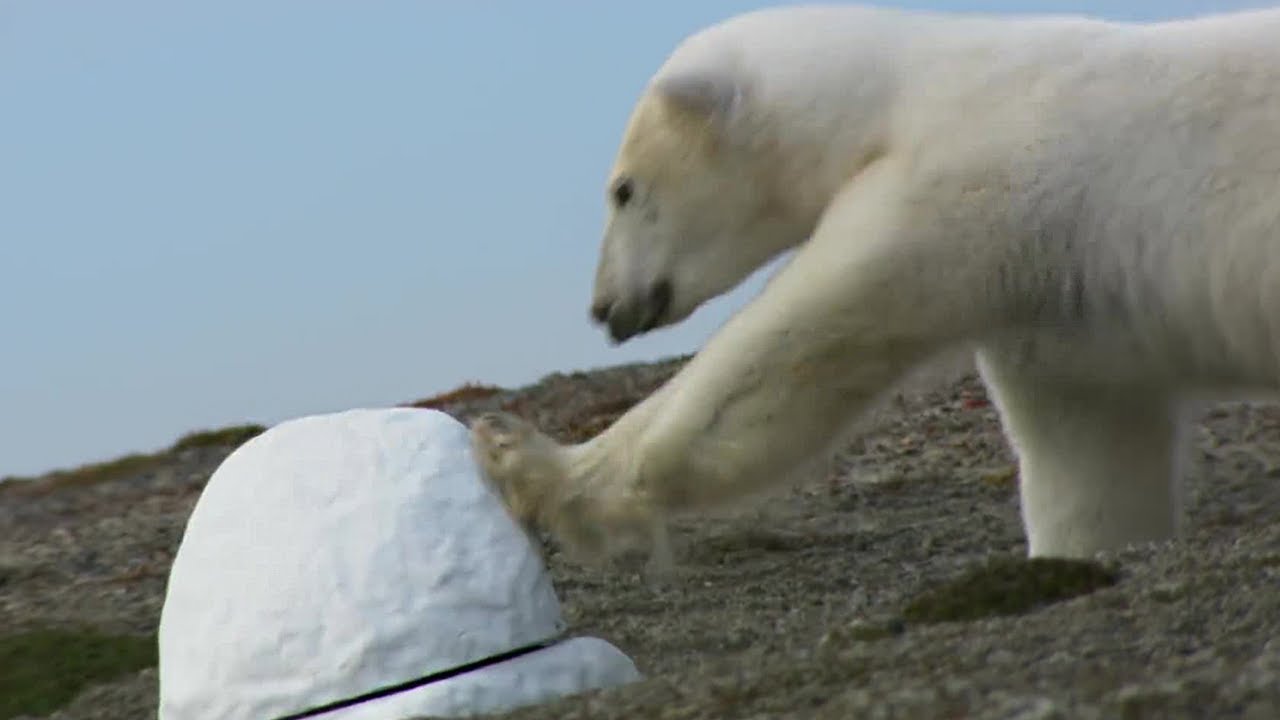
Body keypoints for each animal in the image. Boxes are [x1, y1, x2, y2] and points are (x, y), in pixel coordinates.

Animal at [469, 4, 1280, 569]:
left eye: (623, 190)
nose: (605, 308)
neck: (910, 91)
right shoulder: (1056, 304)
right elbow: (1089, 451)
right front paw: (1074, 551)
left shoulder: (963, 192)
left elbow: (767, 375)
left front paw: (525, 462)